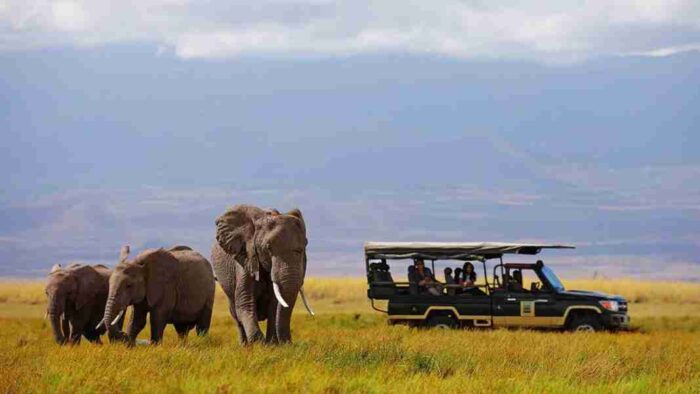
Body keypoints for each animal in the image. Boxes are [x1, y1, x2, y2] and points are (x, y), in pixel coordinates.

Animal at [211, 203, 314, 344]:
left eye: (304, 246)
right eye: (268, 248)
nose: (289, 342)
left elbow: (274, 305)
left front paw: (272, 344)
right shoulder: (246, 257)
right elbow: (245, 301)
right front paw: (259, 343)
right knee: (235, 313)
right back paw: (244, 345)